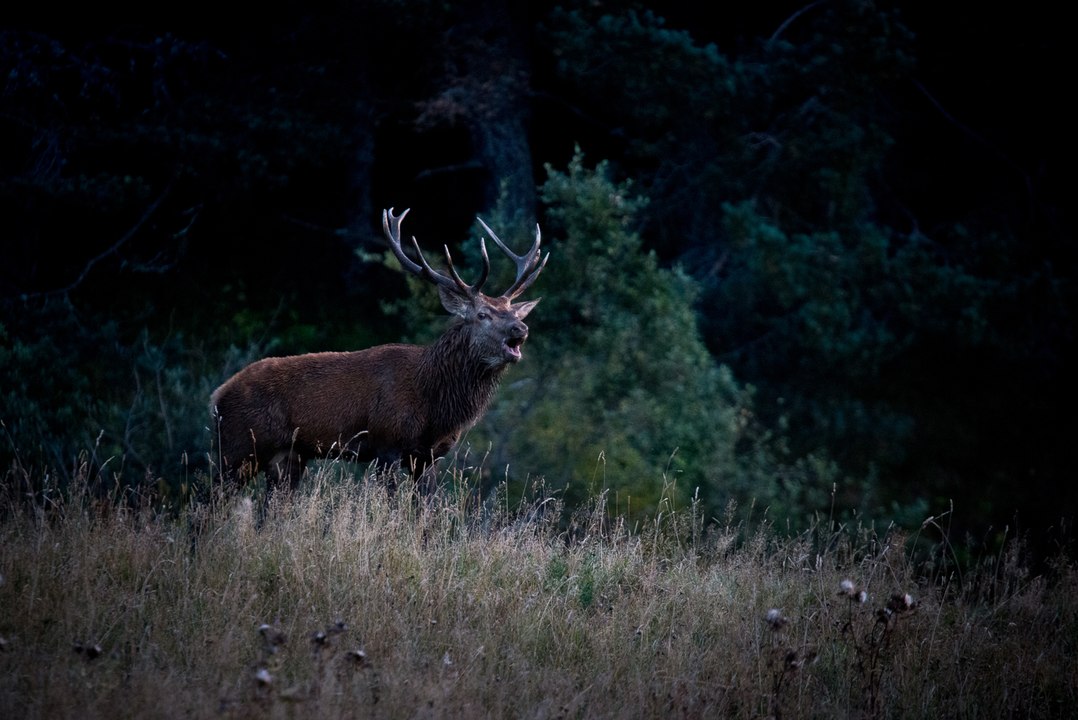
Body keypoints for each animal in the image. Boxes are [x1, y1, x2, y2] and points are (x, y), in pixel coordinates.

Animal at [209, 207, 548, 494]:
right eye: (482, 314)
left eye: (513, 312)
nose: (521, 329)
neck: (434, 403)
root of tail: (217, 396)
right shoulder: (386, 444)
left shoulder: (428, 457)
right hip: (238, 448)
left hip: (287, 458)